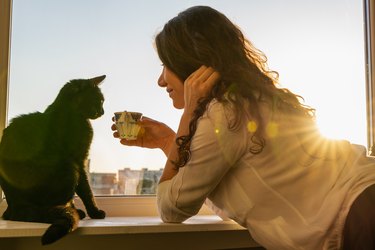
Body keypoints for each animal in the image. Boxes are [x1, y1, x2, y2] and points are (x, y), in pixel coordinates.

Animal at [0, 75, 107, 245]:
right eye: (99, 100)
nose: (103, 112)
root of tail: (15, 208)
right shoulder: (79, 160)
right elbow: (87, 190)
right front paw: (95, 212)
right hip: (69, 168)